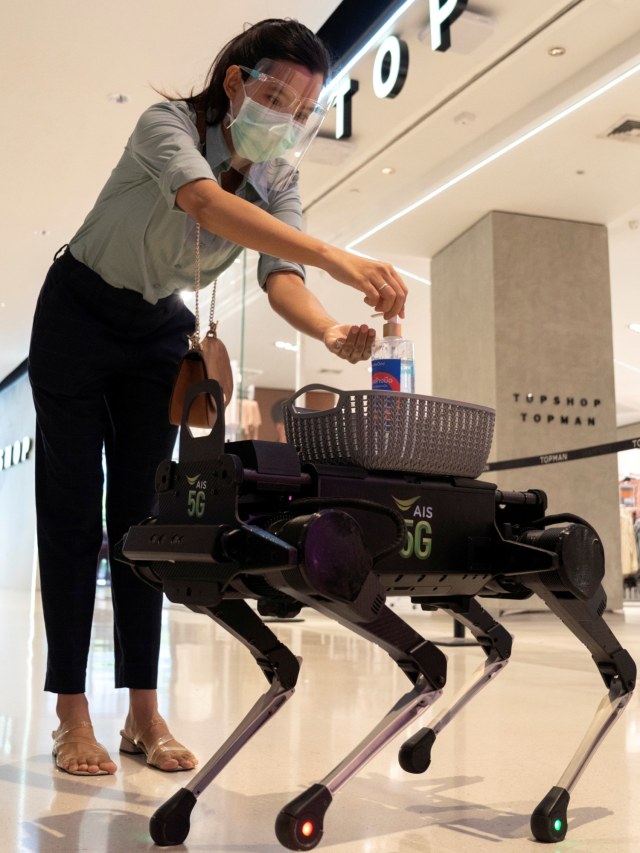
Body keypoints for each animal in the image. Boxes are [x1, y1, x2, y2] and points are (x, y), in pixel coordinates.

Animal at [120, 382, 636, 848]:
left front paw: (307, 811)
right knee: (500, 644)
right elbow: (286, 669)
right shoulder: (210, 587)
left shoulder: (339, 572)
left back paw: (553, 808)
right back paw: (424, 745)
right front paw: (178, 808)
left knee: (618, 668)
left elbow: (430, 668)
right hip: (455, 590)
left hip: (557, 565)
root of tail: (521, 505)